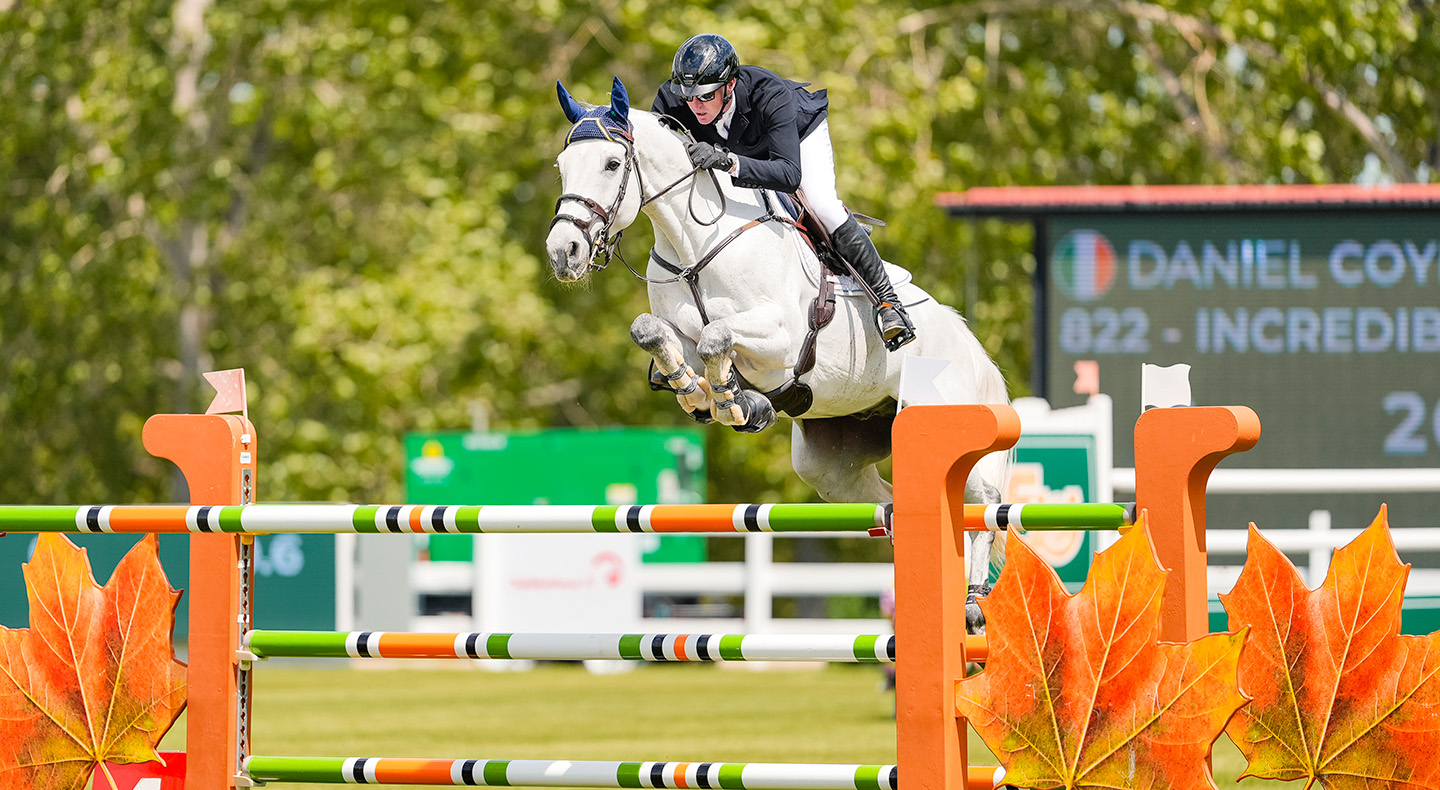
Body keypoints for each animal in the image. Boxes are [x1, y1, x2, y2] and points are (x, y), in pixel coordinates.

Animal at [544, 77, 1011, 629]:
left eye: (612, 164)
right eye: (562, 165)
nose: (563, 252)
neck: (697, 242)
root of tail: (969, 347)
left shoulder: (782, 340)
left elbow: (716, 336)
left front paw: (733, 402)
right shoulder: (678, 333)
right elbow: (653, 333)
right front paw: (705, 395)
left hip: (945, 426)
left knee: (982, 509)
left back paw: (973, 603)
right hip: (830, 466)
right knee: (891, 506)